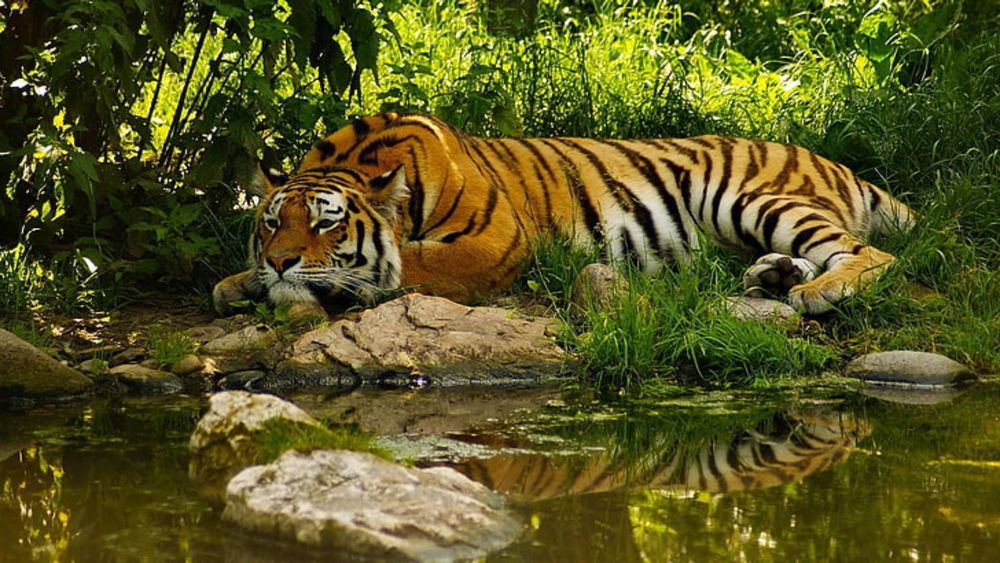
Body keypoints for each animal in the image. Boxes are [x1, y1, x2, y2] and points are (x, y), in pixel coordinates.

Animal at [212, 112, 914, 316]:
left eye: (327, 222)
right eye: (272, 222)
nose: (281, 262)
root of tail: (832, 161)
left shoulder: (494, 241)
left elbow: (406, 265)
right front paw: (239, 283)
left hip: (747, 196)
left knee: (871, 253)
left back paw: (817, 292)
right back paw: (774, 276)